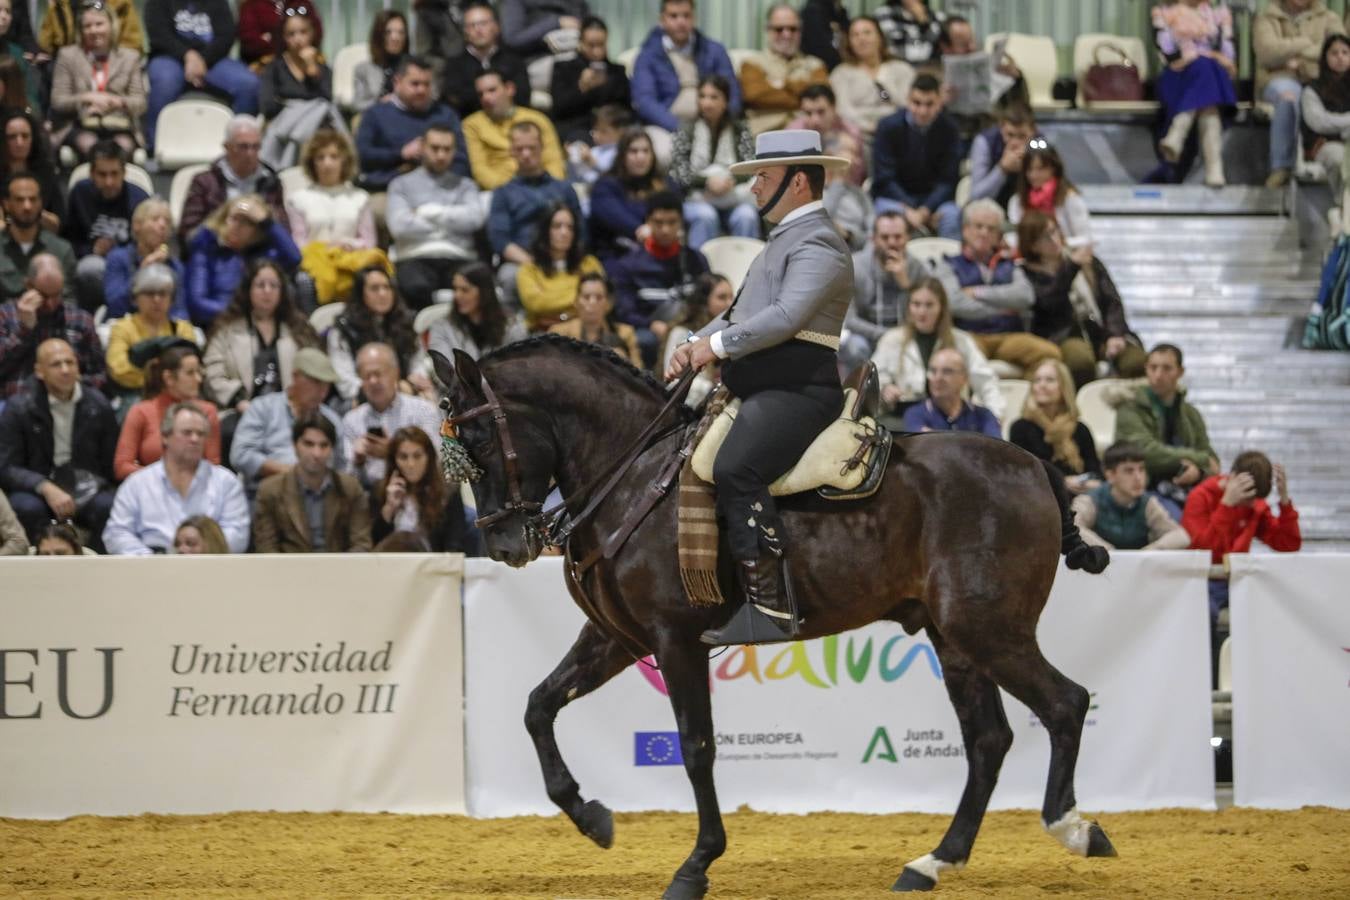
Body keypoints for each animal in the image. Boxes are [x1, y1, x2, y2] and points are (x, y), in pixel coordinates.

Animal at [432, 335, 1117, 898]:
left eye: (482, 441)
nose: (504, 545)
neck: (635, 476)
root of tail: (1035, 466)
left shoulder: (673, 639)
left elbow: (696, 746)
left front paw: (696, 865)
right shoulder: (617, 639)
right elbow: (538, 706)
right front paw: (591, 815)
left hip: (989, 630)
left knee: (1065, 704)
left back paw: (1074, 828)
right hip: (955, 640)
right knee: (988, 739)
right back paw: (932, 862)